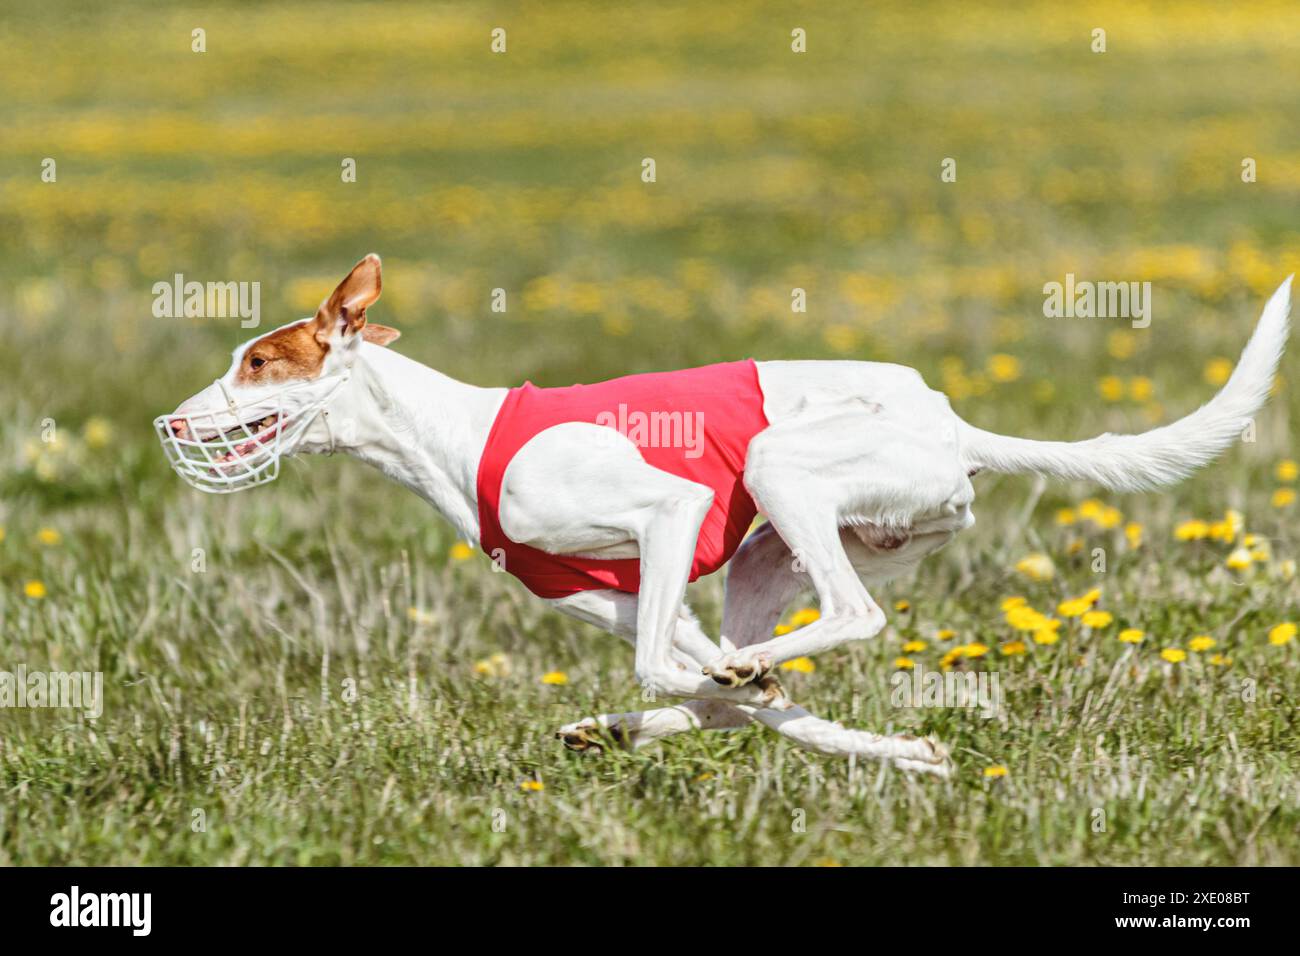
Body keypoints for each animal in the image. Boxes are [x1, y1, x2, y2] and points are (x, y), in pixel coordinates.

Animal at [154, 256, 1289, 780]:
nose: (168, 419)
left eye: (258, 362)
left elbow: (678, 670)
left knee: (849, 617)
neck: (451, 434)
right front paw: (897, 751)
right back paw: (640, 718)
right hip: (770, 555)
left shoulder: (668, 511)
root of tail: (950, 420)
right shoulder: (626, 592)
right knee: (746, 667)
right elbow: (715, 688)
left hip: (778, 465)